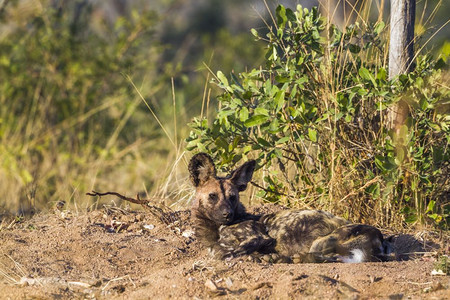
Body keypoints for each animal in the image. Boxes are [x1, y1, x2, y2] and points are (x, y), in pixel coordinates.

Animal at [188, 154, 392, 262]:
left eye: (233, 197)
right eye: (213, 196)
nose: (227, 214)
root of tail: (380, 237)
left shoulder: (259, 237)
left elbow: (227, 251)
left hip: (322, 242)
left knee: (322, 257)